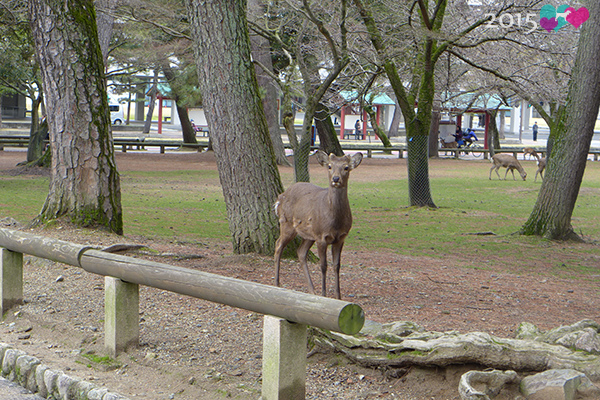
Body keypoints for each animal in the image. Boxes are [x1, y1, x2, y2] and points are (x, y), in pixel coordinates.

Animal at [274, 151, 364, 300]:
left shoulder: (341, 238)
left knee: (301, 252)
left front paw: (338, 297)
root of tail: (279, 198)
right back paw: (276, 283)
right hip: (287, 224)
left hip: (309, 235)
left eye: (346, 167)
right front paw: (324, 294)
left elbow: (337, 265)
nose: (336, 178)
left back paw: (312, 290)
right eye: (329, 166)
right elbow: (323, 266)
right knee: (278, 245)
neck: (335, 222)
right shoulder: (321, 236)